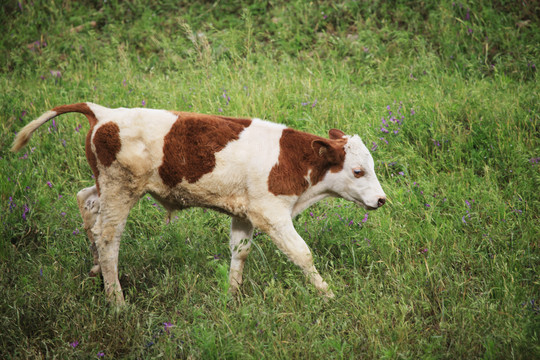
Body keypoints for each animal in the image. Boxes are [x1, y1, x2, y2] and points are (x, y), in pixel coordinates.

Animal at [11, 102, 384, 304]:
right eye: (358, 170)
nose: (381, 199)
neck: (290, 159)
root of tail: (104, 113)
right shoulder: (272, 215)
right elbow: (303, 254)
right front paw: (329, 296)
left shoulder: (245, 214)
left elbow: (239, 253)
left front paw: (232, 298)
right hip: (121, 189)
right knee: (108, 238)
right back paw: (116, 301)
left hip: (106, 186)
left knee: (85, 201)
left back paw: (94, 272)